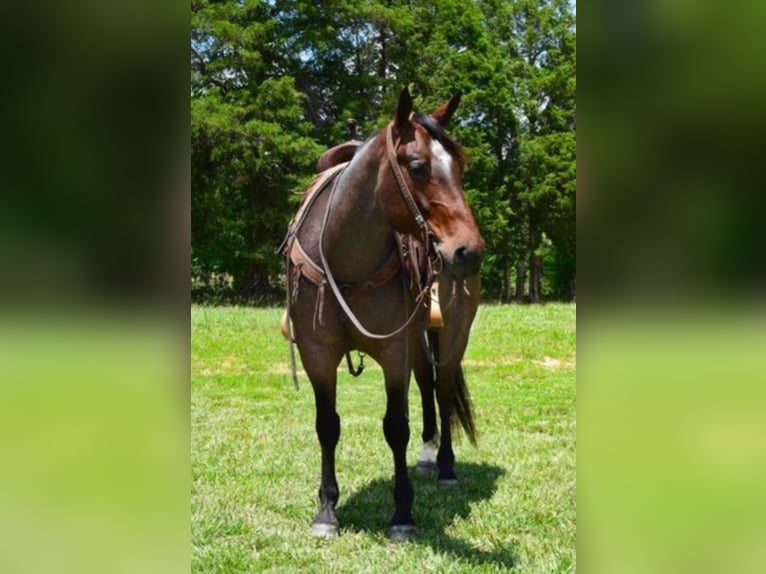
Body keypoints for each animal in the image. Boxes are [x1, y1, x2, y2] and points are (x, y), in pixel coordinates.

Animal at [282, 88, 486, 544]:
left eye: (460, 167)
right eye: (417, 166)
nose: (469, 251)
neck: (344, 259)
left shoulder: (393, 352)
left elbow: (395, 427)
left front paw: (402, 514)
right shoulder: (318, 353)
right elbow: (327, 425)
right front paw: (327, 510)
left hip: (453, 334)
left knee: (443, 389)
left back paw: (445, 468)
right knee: (427, 384)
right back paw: (427, 456)